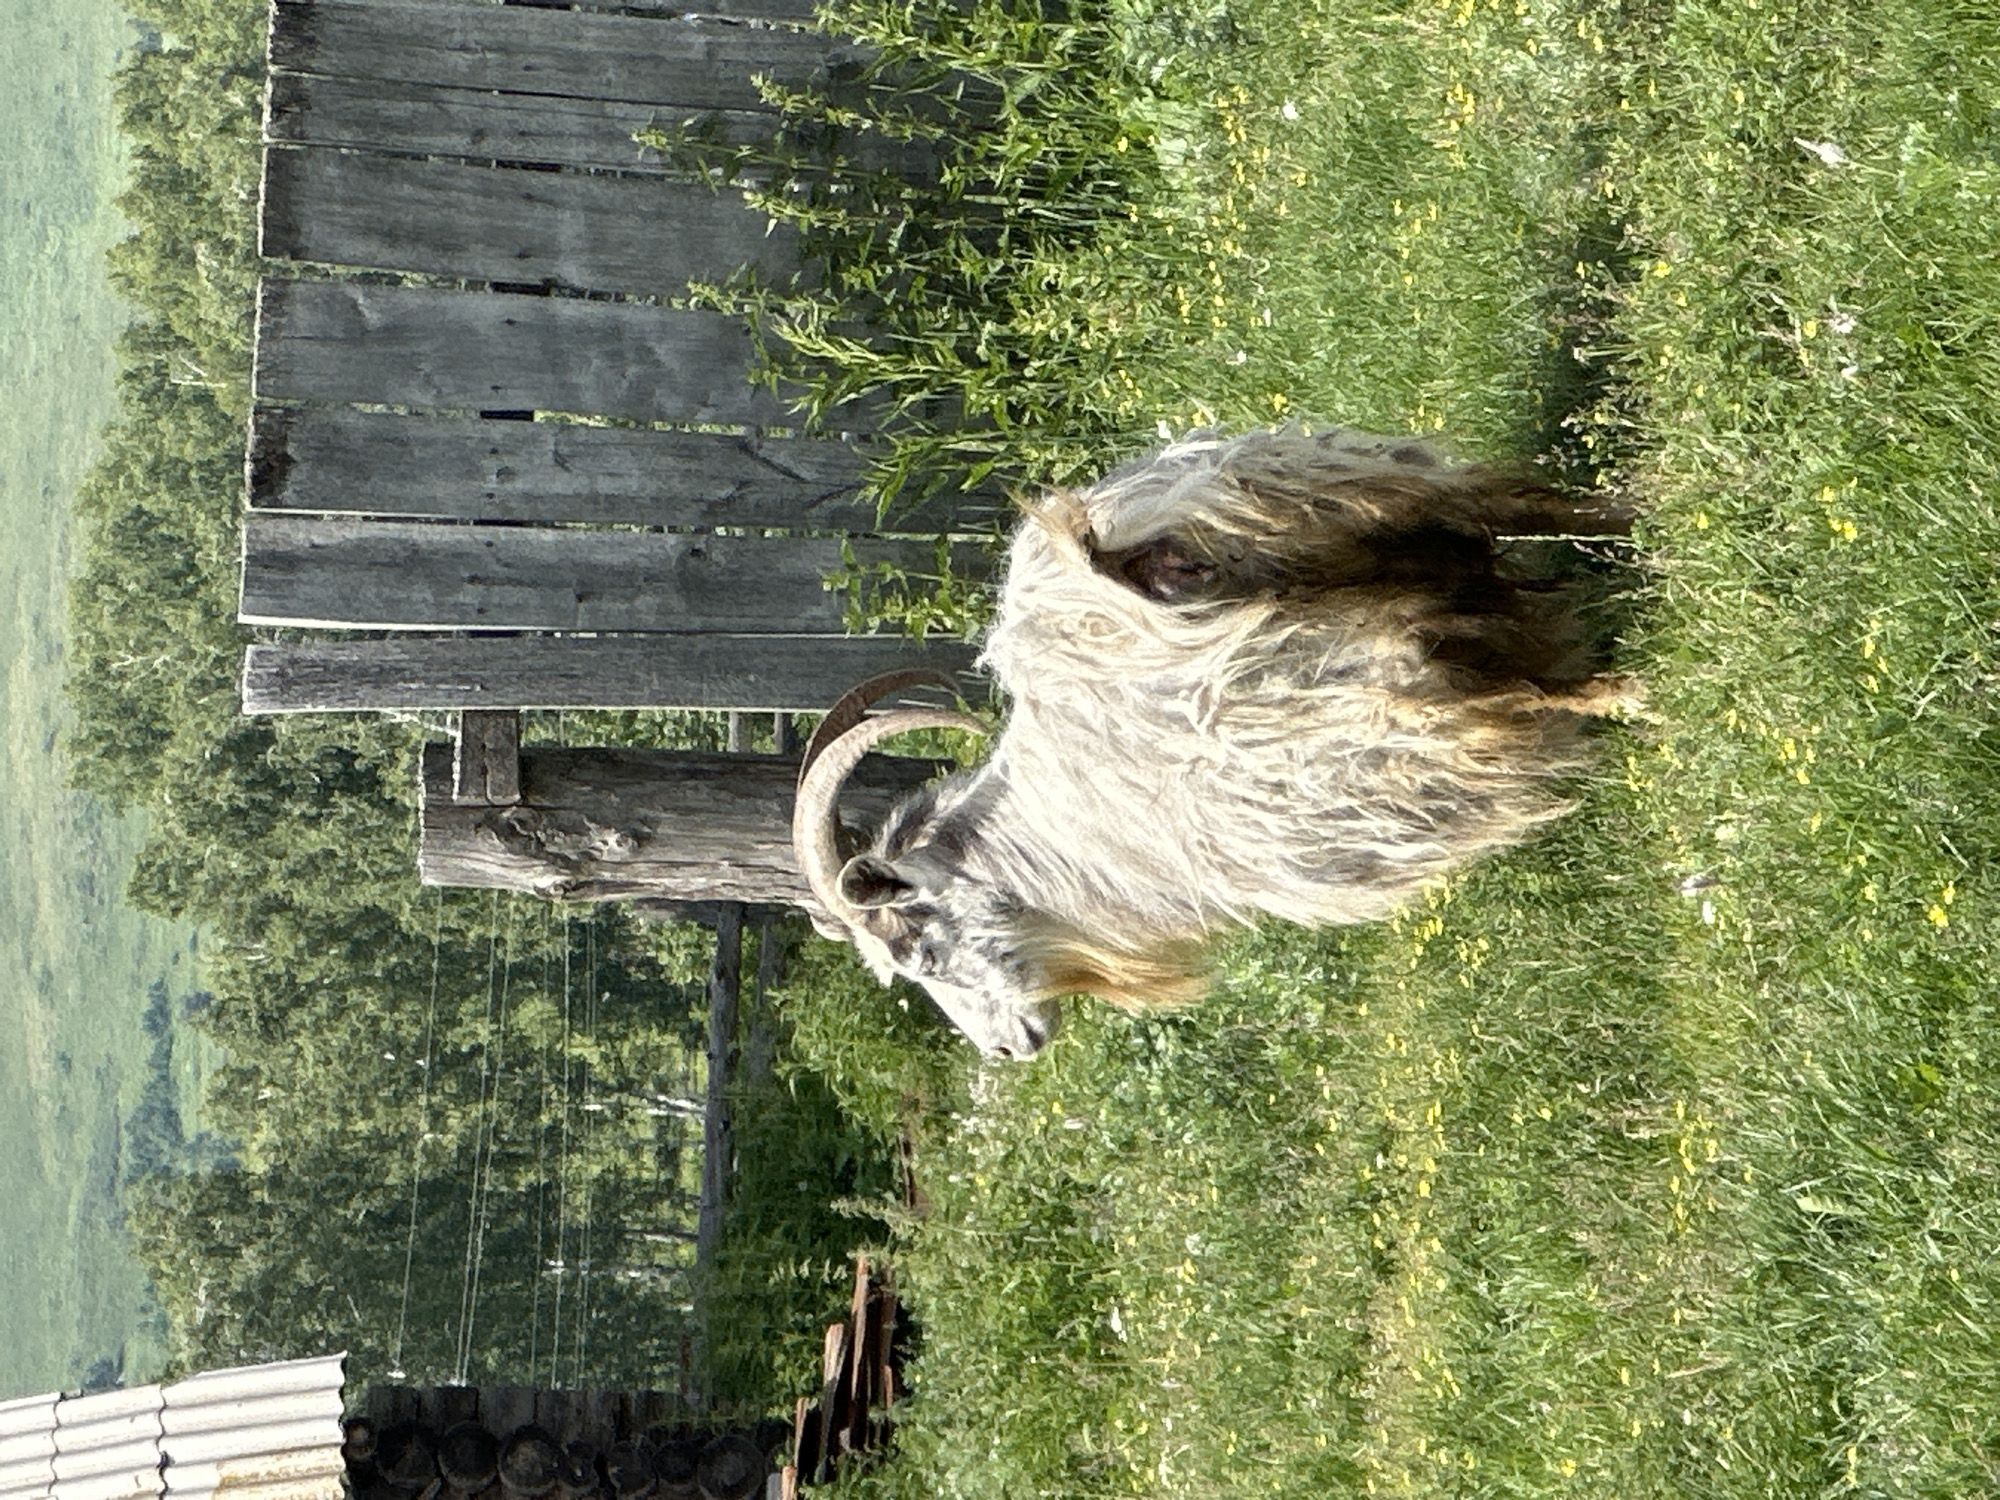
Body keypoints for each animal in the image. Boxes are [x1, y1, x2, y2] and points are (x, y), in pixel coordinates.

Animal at [792, 427, 1635, 1058]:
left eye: (918, 956)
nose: (1009, 1049)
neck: (1051, 839)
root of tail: (1114, 563)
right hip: (1353, 495)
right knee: (1515, 506)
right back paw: (1635, 517)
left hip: (1324, 704)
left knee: (1508, 699)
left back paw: (1631, 696)